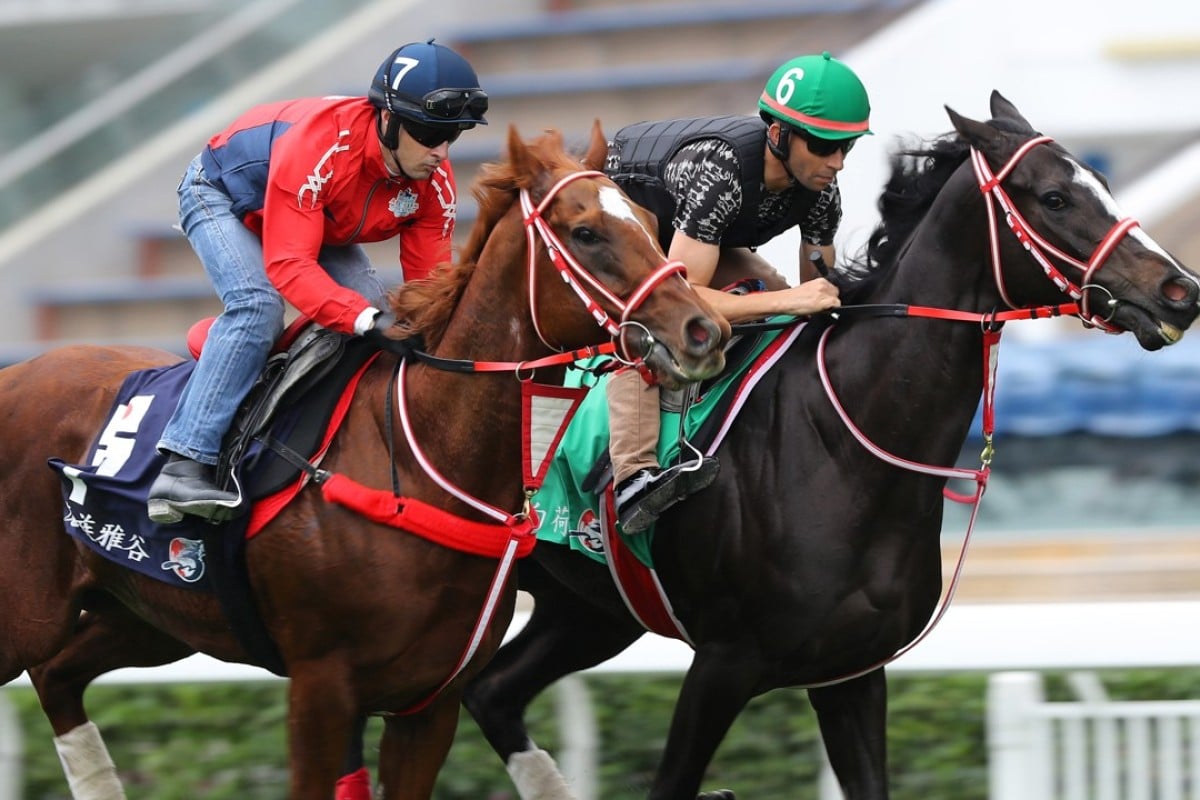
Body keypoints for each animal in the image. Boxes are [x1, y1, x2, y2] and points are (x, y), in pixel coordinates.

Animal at [0, 122, 724, 796]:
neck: (421, 455)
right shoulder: (320, 687)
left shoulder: (427, 704)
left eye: (651, 225)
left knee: (58, 676)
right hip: (36, 614)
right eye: (586, 233)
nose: (703, 331)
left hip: (149, 615)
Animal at [456, 95, 1200, 800]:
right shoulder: (724, 663)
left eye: (1103, 182)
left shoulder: (851, 673)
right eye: (1054, 198)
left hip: (588, 610)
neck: (843, 451)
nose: (1181, 290)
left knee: (490, 692)